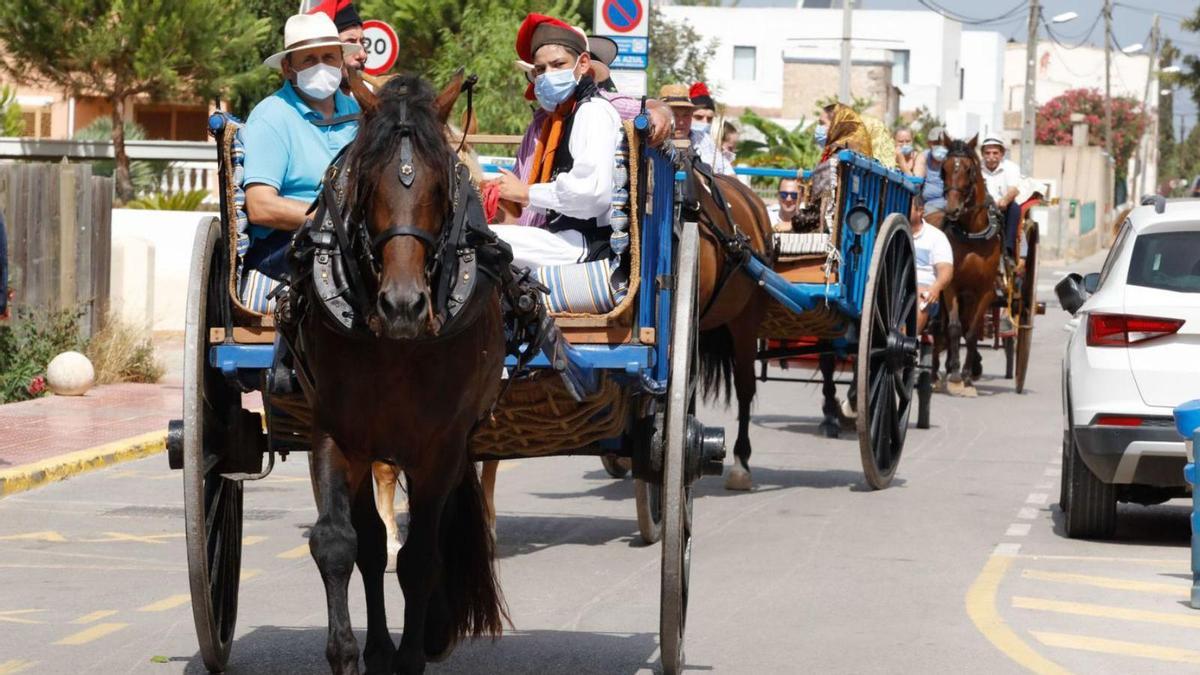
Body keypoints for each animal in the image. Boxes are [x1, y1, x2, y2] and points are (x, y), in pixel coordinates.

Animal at [302, 73, 508, 672]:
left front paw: (413, 652)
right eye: (368, 183)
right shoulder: (335, 433)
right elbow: (339, 543)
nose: (402, 306)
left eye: (441, 186)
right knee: (373, 543)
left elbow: (419, 558)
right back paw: (377, 646)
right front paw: (347, 652)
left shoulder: (440, 447)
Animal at [926, 134, 1003, 396]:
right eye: (944, 169)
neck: (972, 235)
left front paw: (968, 375)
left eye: (969, 170)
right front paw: (956, 375)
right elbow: (954, 328)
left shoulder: (985, 292)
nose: (953, 209)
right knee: (939, 330)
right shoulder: (951, 288)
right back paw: (936, 374)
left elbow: (970, 333)